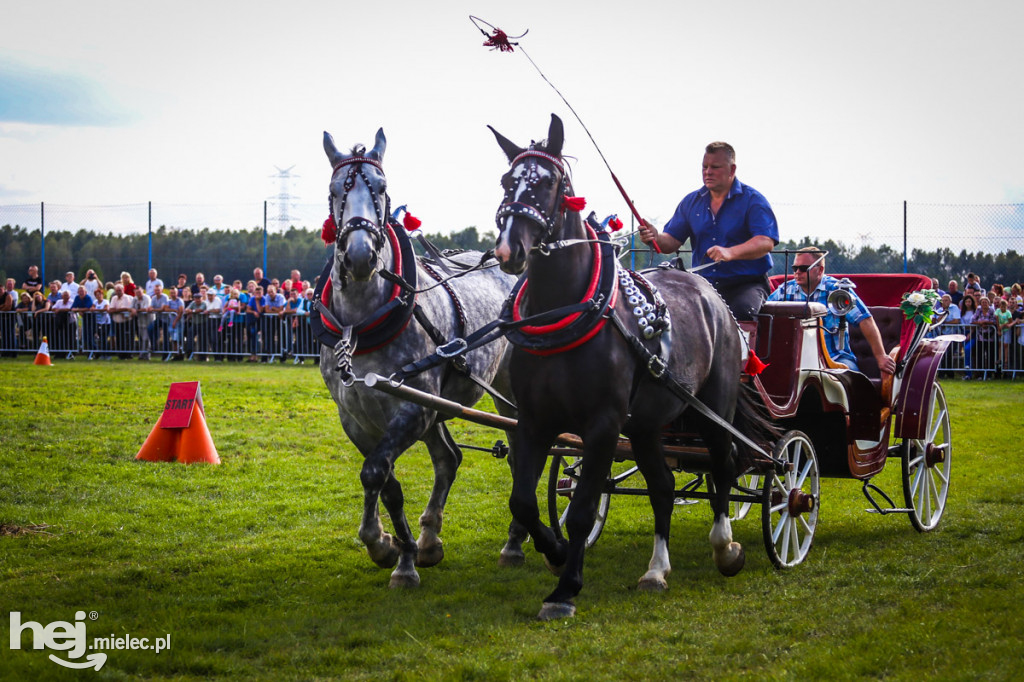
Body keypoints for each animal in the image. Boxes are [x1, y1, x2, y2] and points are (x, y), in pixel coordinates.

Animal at [319, 127, 528, 585]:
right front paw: (394, 548)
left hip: (508, 392)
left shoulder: (412, 410)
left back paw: (515, 540)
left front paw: (396, 555)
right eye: (334, 191)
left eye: (381, 188)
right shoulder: (355, 416)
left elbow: (375, 472)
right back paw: (431, 539)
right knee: (449, 458)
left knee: (525, 447)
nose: (359, 255)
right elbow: (386, 483)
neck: (362, 323)